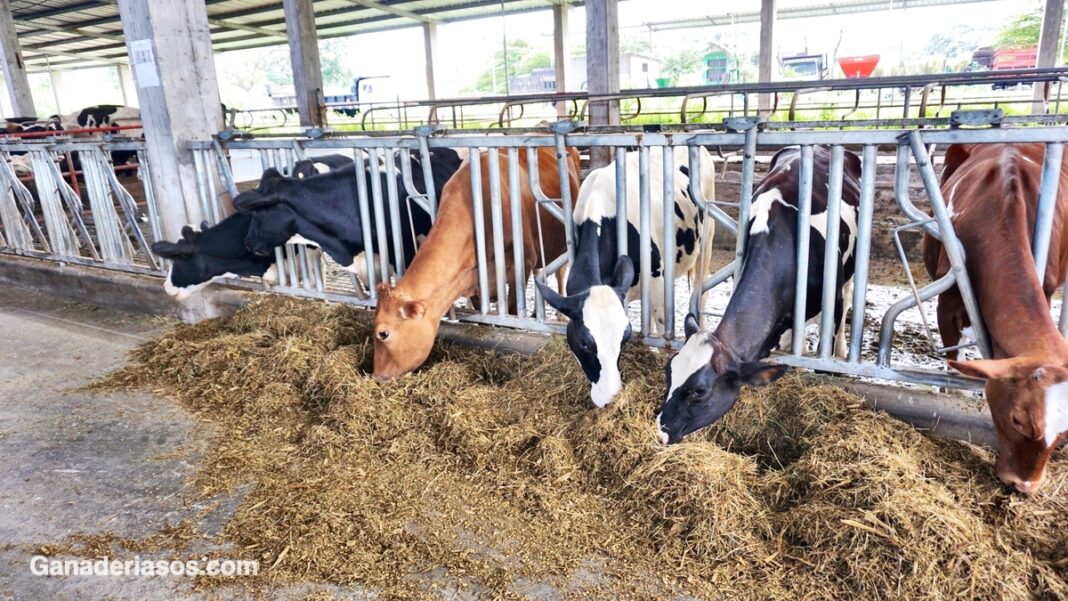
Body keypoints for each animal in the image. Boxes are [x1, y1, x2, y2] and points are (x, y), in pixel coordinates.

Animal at [371, 146, 580, 377]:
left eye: (383, 333)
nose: (376, 376)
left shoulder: (522, 265)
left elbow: (513, 313)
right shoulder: (474, 282)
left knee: (560, 274)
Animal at [534, 147, 717, 409]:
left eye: (624, 337)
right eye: (584, 343)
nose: (609, 397)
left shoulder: (658, 284)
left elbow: (664, 329)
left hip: (707, 235)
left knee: (701, 288)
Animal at [922, 143, 1068, 495]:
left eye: (1066, 435)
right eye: (1018, 420)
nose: (1024, 485)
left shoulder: (1047, 287)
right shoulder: (948, 301)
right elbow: (956, 362)